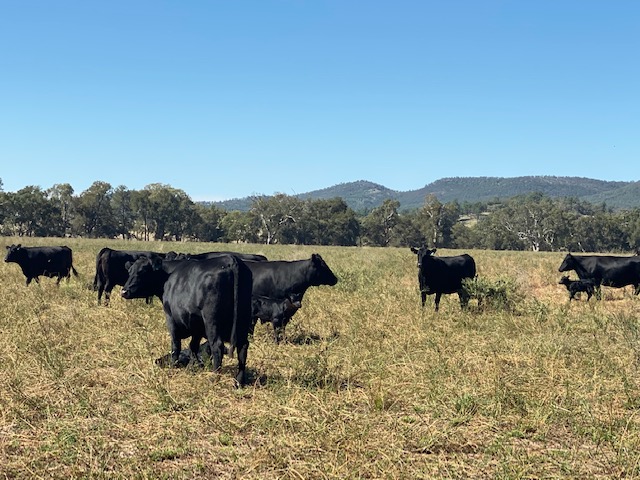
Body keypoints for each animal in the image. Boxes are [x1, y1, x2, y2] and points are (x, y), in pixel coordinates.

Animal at [120, 255, 252, 386]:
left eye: (142, 271)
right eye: (129, 271)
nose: (124, 291)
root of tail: (230, 259)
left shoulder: (171, 318)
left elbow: (175, 345)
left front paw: (172, 367)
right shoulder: (196, 325)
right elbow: (193, 346)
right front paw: (193, 366)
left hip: (211, 320)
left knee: (217, 346)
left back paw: (214, 379)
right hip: (242, 320)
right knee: (243, 346)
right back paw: (239, 382)